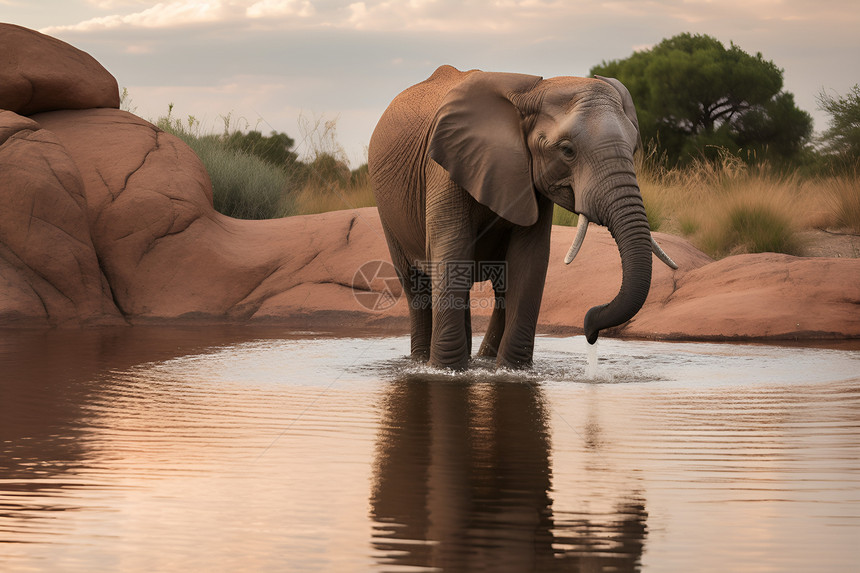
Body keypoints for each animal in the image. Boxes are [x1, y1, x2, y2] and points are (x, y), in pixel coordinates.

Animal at [370, 65, 680, 368]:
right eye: (567, 150)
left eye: (634, 148)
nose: (590, 330)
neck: (532, 92)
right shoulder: (443, 171)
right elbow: (451, 254)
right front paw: (446, 370)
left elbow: (529, 261)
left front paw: (512, 369)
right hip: (388, 214)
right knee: (417, 288)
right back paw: (422, 360)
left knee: (499, 288)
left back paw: (482, 360)